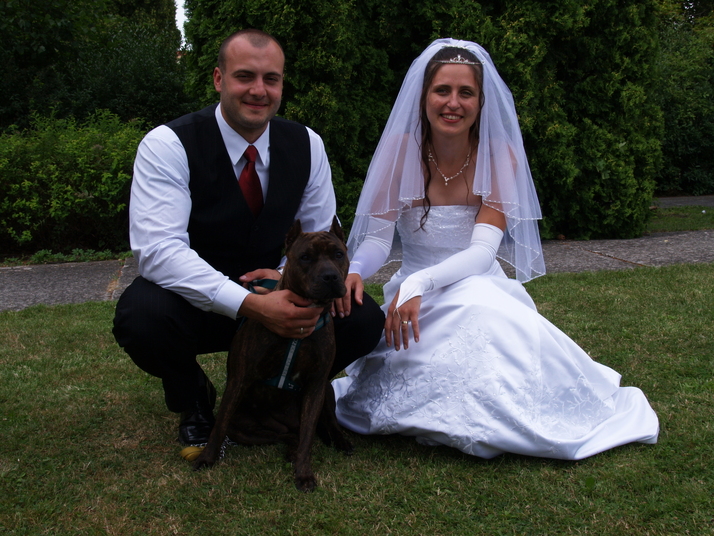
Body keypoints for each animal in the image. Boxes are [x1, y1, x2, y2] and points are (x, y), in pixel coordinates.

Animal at [192, 217, 354, 492]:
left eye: (338, 254)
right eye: (305, 257)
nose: (330, 276)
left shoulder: (316, 384)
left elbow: (309, 436)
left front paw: (304, 473)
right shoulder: (239, 379)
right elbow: (219, 425)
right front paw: (207, 458)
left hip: (327, 391)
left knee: (318, 426)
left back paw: (337, 441)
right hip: (244, 427)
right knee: (285, 435)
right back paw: (291, 448)